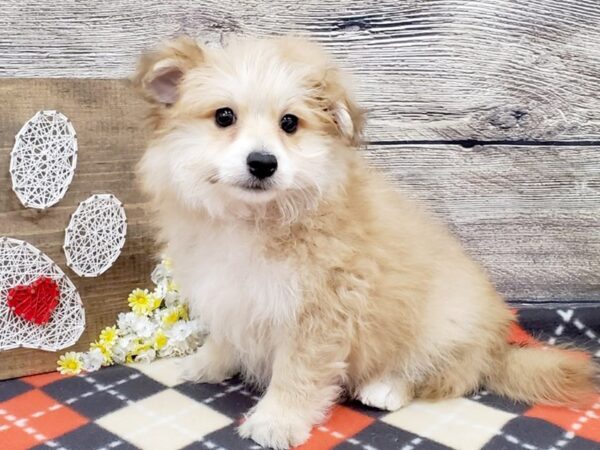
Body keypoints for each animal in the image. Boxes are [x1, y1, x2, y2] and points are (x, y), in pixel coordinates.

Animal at [134, 37, 596, 448]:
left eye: (290, 123)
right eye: (224, 116)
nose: (263, 163)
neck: (254, 219)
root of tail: (498, 350)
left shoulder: (317, 316)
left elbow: (296, 375)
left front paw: (277, 421)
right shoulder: (229, 295)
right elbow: (226, 339)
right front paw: (205, 363)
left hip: (444, 325)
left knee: (449, 375)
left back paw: (386, 387)